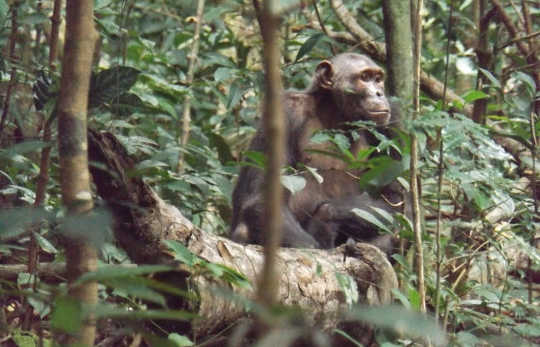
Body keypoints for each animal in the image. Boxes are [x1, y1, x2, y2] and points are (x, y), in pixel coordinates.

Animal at [230, 52, 408, 253]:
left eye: (378, 79)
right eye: (364, 77)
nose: (379, 93)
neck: (336, 116)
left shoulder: (391, 125)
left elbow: (394, 200)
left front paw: (325, 217)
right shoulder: (286, 110)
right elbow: (261, 196)